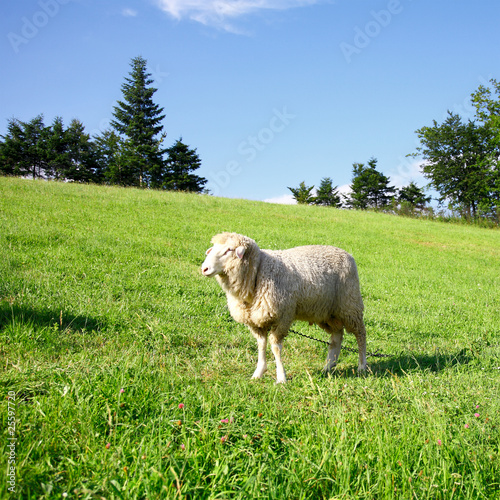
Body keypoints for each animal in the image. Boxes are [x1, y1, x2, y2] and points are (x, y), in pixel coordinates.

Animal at [200, 231, 368, 382]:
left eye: (229, 250)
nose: (204, 269)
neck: (258, 271)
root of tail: (346, 253)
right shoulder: (256, 320)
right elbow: (261, 345)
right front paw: (258, 372)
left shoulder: (282, 317)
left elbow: (275, 347)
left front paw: (281, 377)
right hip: (327, 312)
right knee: (337, 337)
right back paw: (328, 366)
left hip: (350, 304)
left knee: (360, 334)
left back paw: (362, 366)